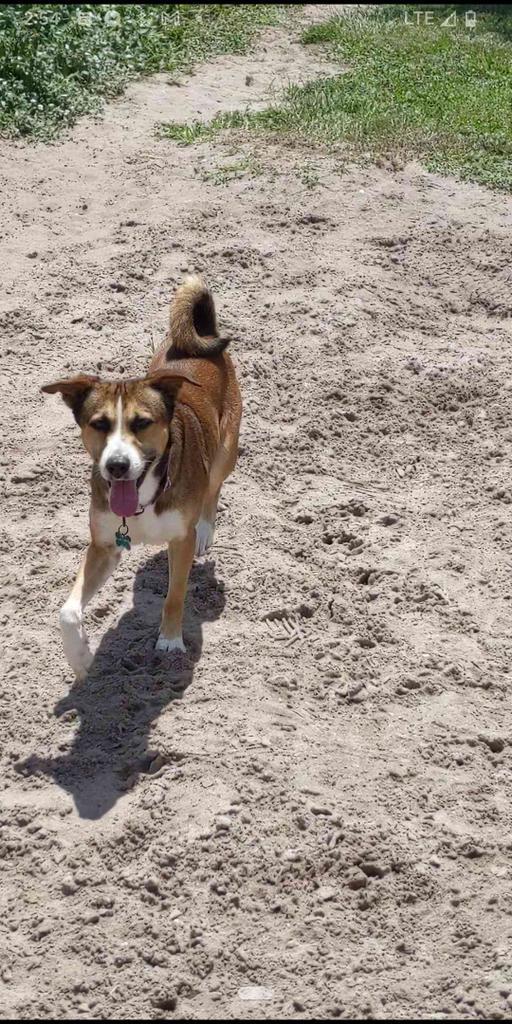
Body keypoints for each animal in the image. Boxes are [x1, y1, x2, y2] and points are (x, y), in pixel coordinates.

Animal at [41, 280, 241, 679]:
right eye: (99, 424)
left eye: (142, 423)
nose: (117, 466)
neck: (146, 493)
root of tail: (199, 336)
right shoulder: (103, 545)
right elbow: (67, 612)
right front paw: (81, 658)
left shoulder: (179, 540)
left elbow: (175, 595)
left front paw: (170, 642)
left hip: (225, 452)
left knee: (213, 488)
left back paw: (207, 529)